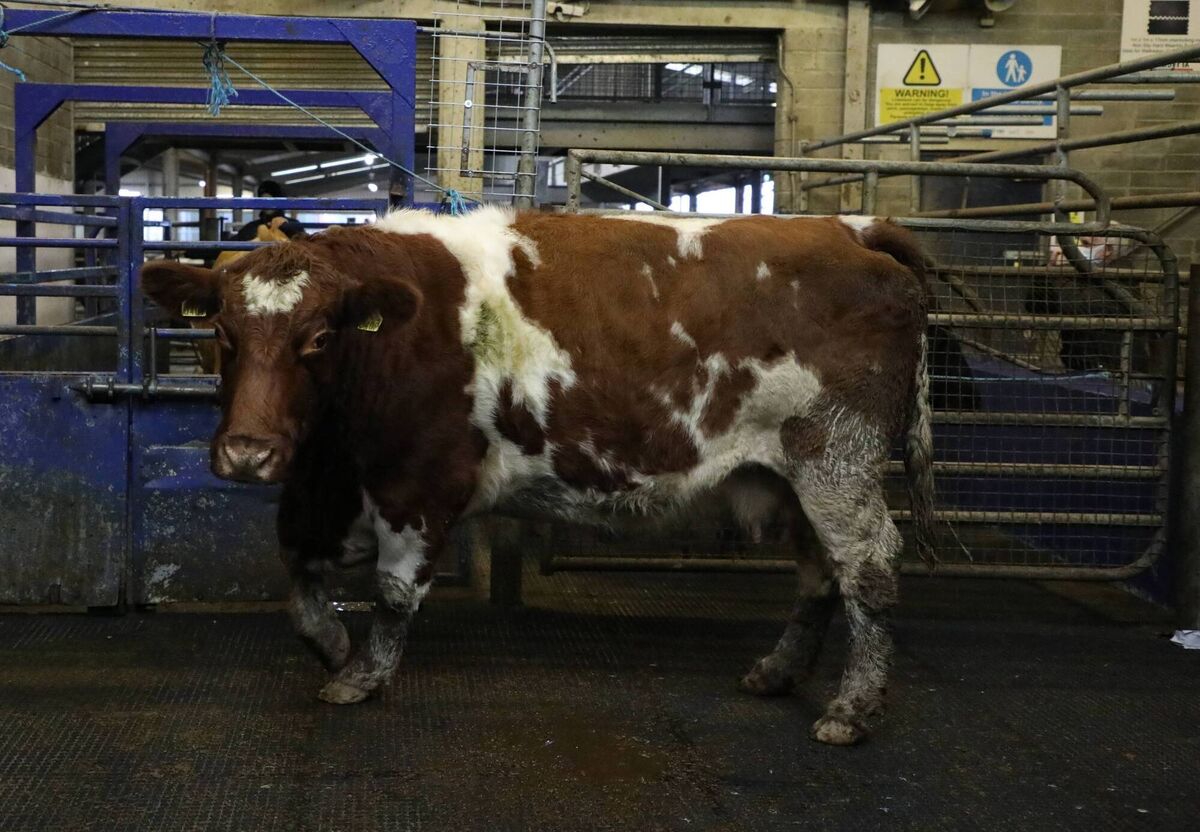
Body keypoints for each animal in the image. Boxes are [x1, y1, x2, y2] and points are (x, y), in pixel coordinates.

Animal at [139, 207, 935, 746]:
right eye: (221, 333)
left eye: (319, 337)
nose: (248, 451)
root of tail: (848, 228)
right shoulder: (319, 494)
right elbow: (300, 585)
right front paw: (336, 647)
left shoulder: (419, 484)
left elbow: (393, 593)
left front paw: (363, 675)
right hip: (792, 476)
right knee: (819, 571)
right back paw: (778, 673)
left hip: (837, 458)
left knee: (868, 567)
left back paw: (852, 708)